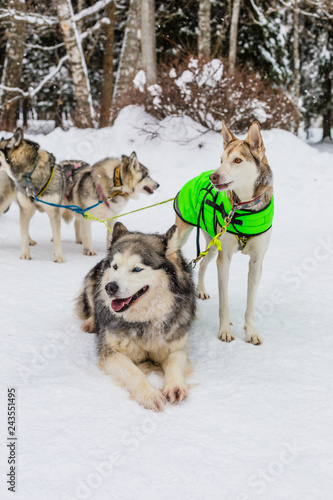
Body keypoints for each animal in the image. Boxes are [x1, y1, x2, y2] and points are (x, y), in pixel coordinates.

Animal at [0, 129, 65, 262]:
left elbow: (57, 238)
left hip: (30, 210)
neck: (29, 173)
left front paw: (59, 256)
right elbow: (23, 235)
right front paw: (25, 255)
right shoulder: (25, 209)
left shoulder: (53, 212)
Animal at [75, 223, 195, 410]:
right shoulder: (111, 353)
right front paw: (149, 394)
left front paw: (175, 386)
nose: (110, 288)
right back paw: (91, 323)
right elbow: (133, 372)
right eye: (115, 266)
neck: (144, 321)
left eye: (137, 269)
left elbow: (175, 363)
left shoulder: (176, 346)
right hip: (92, 280)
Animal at [174, 122, 272, 348]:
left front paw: (251, 331)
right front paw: (225, 330)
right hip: (184, 236)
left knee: (202, 263)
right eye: (221, 160)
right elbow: (224, 301)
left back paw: (200, 289)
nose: (214, 176)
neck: (243, 207)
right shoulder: (224, 258)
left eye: (237, 160)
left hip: (212, 244)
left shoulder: (257, 262)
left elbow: (250, 303)